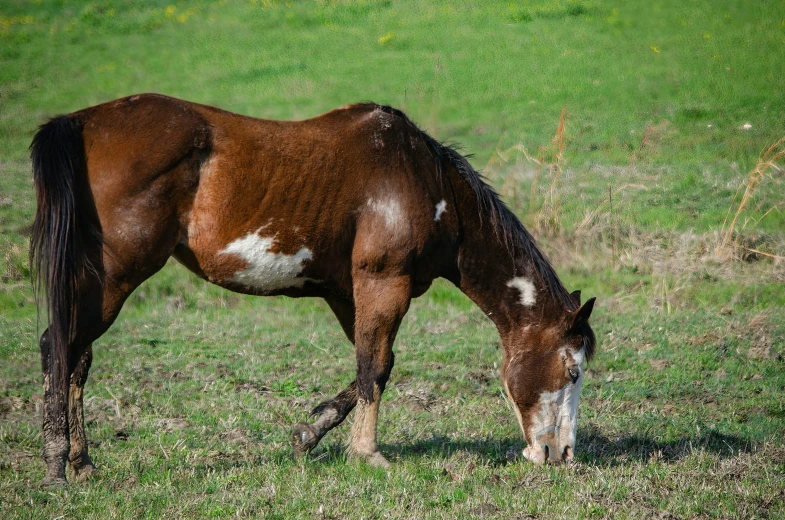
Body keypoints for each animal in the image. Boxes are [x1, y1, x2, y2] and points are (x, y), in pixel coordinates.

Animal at [29, 92, 596, 484]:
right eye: (572, 371)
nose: (563, 455)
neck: (426, 183)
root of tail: (83, 122)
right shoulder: (383, 284)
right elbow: (374, 368)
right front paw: (367, 453)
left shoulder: (348, 294)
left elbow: (373, 366)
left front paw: (310, 433)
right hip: (113, 276)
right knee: (61, 348)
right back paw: (57, 463)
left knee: (76, 358)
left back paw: (80, 462)